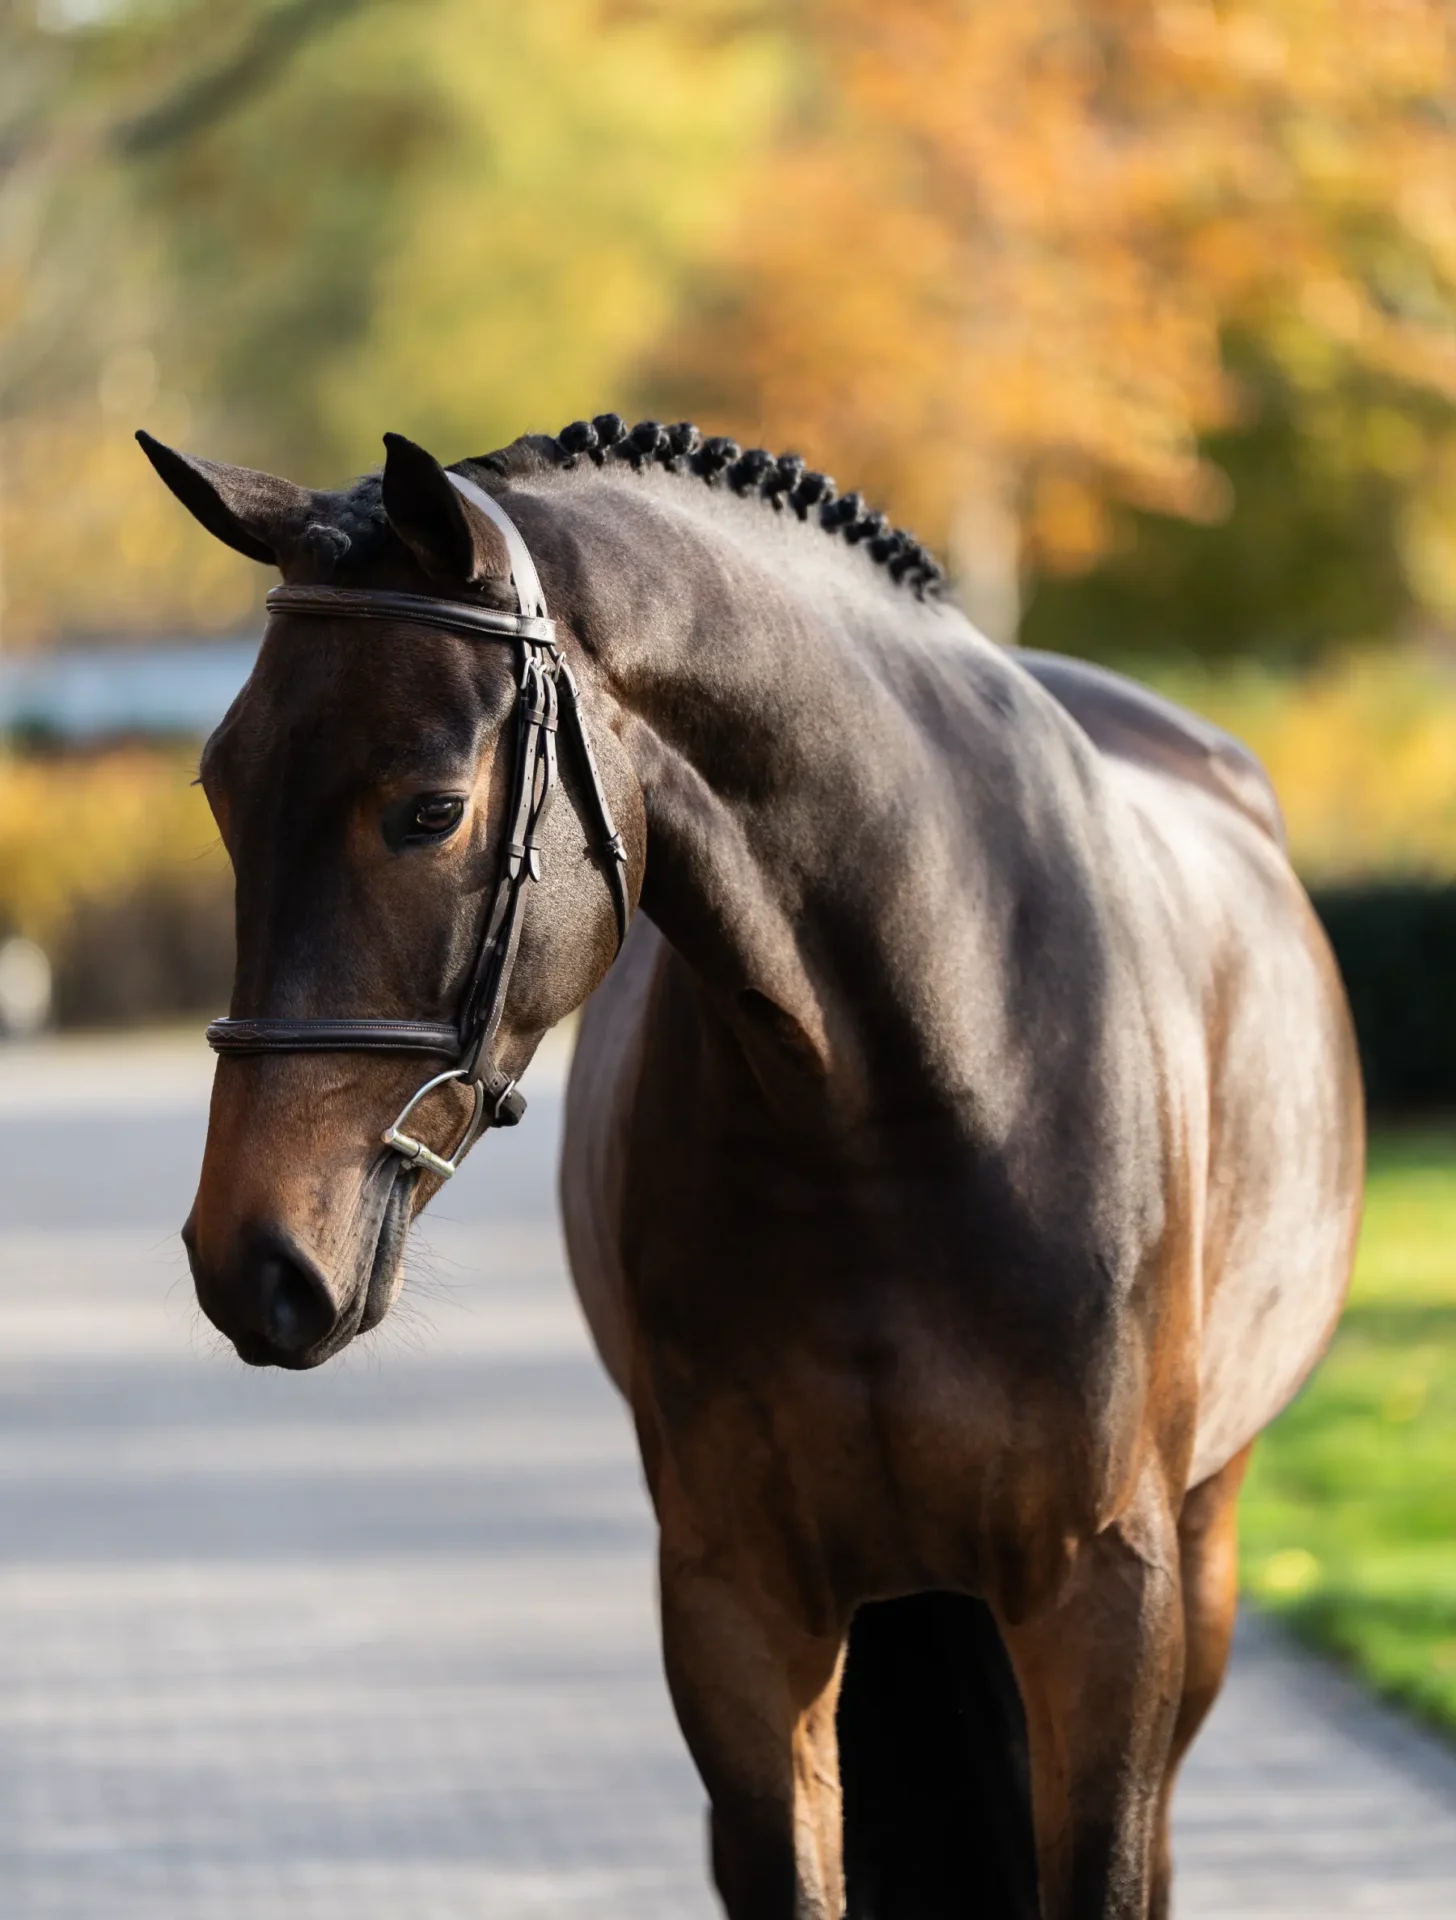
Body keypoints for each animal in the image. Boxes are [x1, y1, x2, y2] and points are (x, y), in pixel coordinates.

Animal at [141, 413, 1364, 1919]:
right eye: (223, 787)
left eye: (430, 811)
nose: (252, 1258)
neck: (906, 1090)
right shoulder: (737, 1602)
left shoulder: (1104, 1598)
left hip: (1202, 1554)